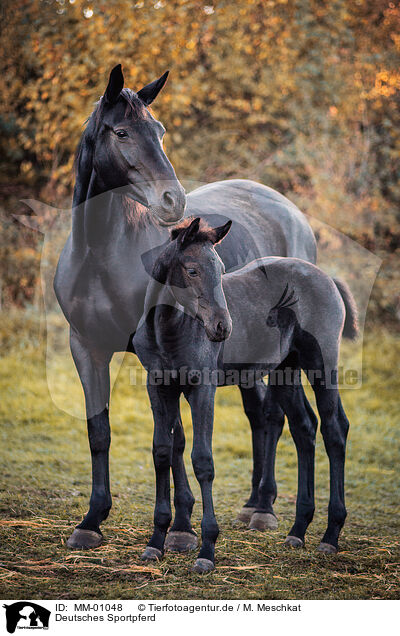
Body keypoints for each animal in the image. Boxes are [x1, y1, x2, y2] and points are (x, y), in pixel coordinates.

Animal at [54, 66, 322, 552]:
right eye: (121, 132)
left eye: (159, 130)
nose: (172, 201)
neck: (100, 252)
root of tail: (290, 210)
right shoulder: (86, 348)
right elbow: (99, 431)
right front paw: (92, 520)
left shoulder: (163, 360)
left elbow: (176, 440)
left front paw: (180, 529)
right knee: (261, 417)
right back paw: (255, 503)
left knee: (278, 418)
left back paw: (266, 509)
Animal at [133, 217, 354, 572]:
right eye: (192, 270)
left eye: (222, 269)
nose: (222, 327)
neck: (167, 329)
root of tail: (326, 277)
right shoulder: (158, 386)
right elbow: (162, 452)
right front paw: (156, 542)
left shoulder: (202, 387)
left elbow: (203, 460)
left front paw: (207, 550)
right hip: (285, 369)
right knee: (305, 428)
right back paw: (298, 531)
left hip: (322, 364)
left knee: (335, 430)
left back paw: (330, 536)